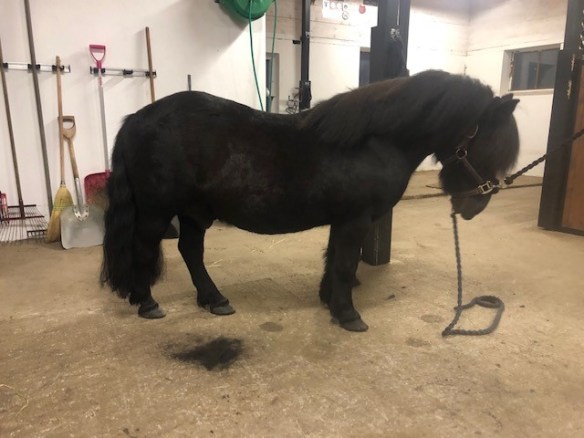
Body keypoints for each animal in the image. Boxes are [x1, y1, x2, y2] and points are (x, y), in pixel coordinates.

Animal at [100, 70, 519, 332]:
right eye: (490, 143)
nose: (477, 204)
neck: (375, 141)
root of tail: (137, 118)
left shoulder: (345, 220)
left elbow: (334, 259)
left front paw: (329, 300)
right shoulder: (356, 219)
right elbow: (345, 263)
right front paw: (348, 315)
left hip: (193, 212)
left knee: (190, 251)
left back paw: (214, 299)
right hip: (156, 212)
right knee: (144, 249)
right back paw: (147, 303)